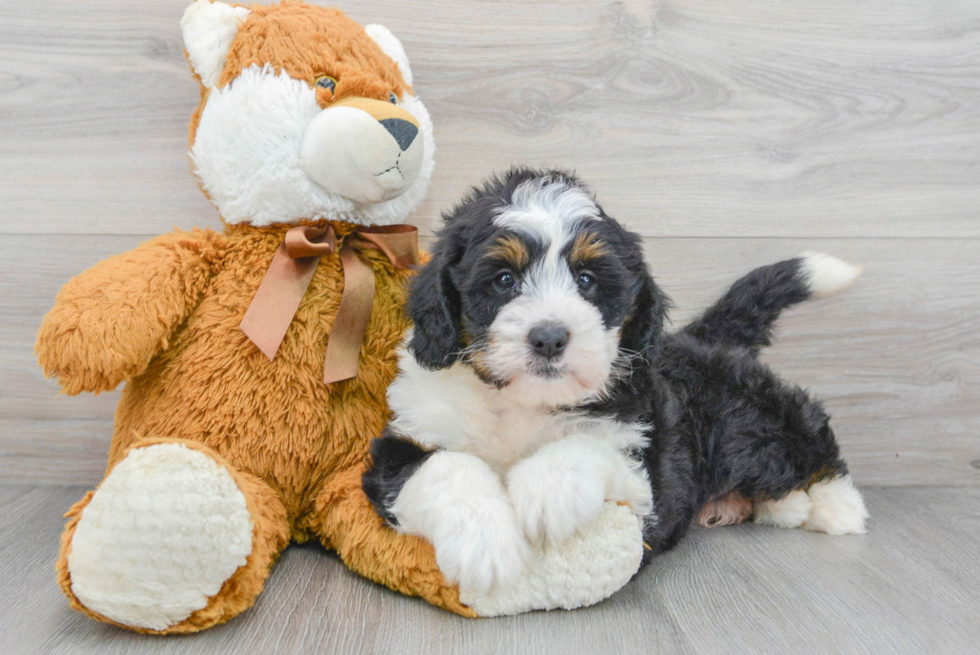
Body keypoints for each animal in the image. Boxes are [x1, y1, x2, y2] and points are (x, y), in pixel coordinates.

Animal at [364, 168, 868, 596]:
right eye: (504, 279)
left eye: (587, 279)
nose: (549, 337)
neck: (524, 403)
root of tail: (699, 338)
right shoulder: (403, 441)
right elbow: (446, 466)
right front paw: (485, 544)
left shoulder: (645, 469)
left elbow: (589, 445)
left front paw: (546, 491)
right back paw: (757, 505)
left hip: (747, 419)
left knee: (809, 440)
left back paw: (834, 507)